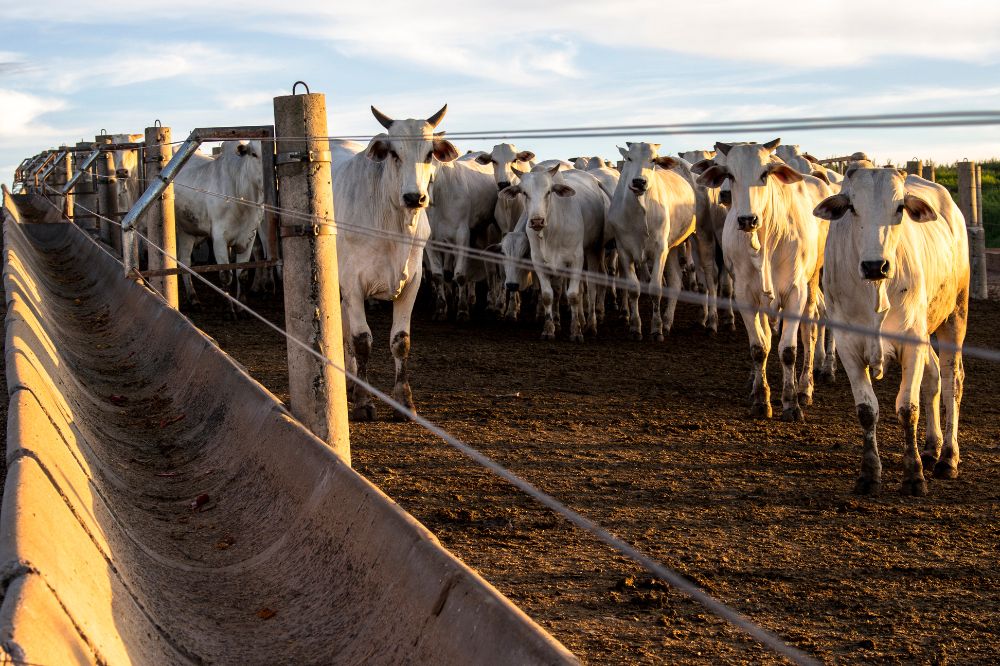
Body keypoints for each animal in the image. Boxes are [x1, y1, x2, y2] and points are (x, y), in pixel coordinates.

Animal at [336, 104, 460, 418]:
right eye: (394, 153)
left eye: (429, 153)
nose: (414, 197)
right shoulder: (353, 284)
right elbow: (362, 341)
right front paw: (364, 403)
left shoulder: (412, 282)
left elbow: (400, 341)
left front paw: (404, 401)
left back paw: (350, 381)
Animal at [500, 166, 608, 342]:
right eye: (524, 192)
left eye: (549, 192)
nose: (537, 221)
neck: (551, 231)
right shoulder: (540, 262)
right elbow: (548, 295)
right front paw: (550, 328)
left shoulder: (576, 260)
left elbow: (573, 295)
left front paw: (576, 331)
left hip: (594, 250)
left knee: (592, 288)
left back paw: (591, 324)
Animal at [608, 142, 696, 340]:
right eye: (629, 158)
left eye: (653, 160)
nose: (639, 182)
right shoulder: (624, 250)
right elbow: (634, 289)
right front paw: (635, 327)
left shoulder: (660, 250)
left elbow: (656, 289)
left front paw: (656, 328)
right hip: (672, 248)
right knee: (676, 280)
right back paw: (668, 322)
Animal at [696, 137, 828, 420]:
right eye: (730, 175)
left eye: (764, 174)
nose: (747, 219)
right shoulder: (745, 294)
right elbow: (759, 347)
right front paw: (760, 398)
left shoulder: (795, 292)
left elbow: (789, 350)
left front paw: (791, 403)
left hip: (812, 283)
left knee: (808, 333)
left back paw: (804, 388)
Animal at [812, 166, 968, 492]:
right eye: (852, 207)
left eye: (899, 208)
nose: (875, 266)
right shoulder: (848, 346)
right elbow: (866, 410)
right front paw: (869, 474)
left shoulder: (911, 342)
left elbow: (907, 408)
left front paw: (913, 476)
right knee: (933, 378)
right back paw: (931, 449)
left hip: (955, 314)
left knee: (952, 380)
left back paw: (948, 457)